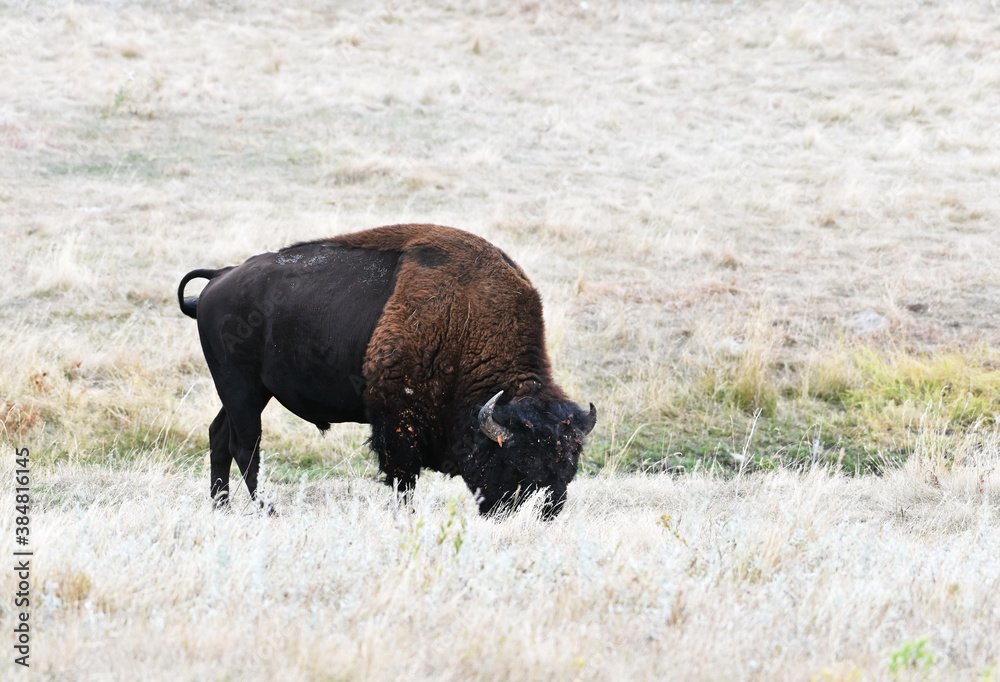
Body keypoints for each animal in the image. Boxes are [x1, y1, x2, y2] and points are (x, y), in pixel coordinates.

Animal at [178, 224, 596, 518]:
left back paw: (221, 508)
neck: (465, 322)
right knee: (245, 445)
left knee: (219, 434)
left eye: (568, 469)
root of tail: (219, 278)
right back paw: (269, 510)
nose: (546, 513)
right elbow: (402, 481)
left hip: (248, 391)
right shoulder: (397, 425)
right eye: (515, 463)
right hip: (240, 386)